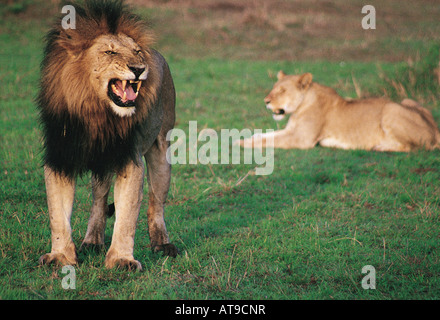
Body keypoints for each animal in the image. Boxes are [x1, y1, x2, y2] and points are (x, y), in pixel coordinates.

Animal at [36, 0, 177, 270]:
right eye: (110, 53)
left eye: (137, 52)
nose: (139, 68)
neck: (97, 113)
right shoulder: (60, 156)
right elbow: (57, 214)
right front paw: (61, 256)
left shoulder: (129, 159)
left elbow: (127, 216)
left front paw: (121, 259)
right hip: (101, 165)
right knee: (99, 201)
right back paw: (92, 242)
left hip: (161, 150)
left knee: (156, 204)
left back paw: (162, 244)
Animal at [241, 70, 440, 151]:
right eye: (274, 88)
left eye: (282, 90)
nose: (266, 101)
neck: (300, 107)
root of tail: (436, 129)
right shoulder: (292, 131)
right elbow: (266, 135)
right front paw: (248, 137)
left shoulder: (301, 139)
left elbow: (269, 141)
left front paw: (240, 143)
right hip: (407, 100)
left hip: (391, 109)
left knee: (415, 147)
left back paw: (380, 147)